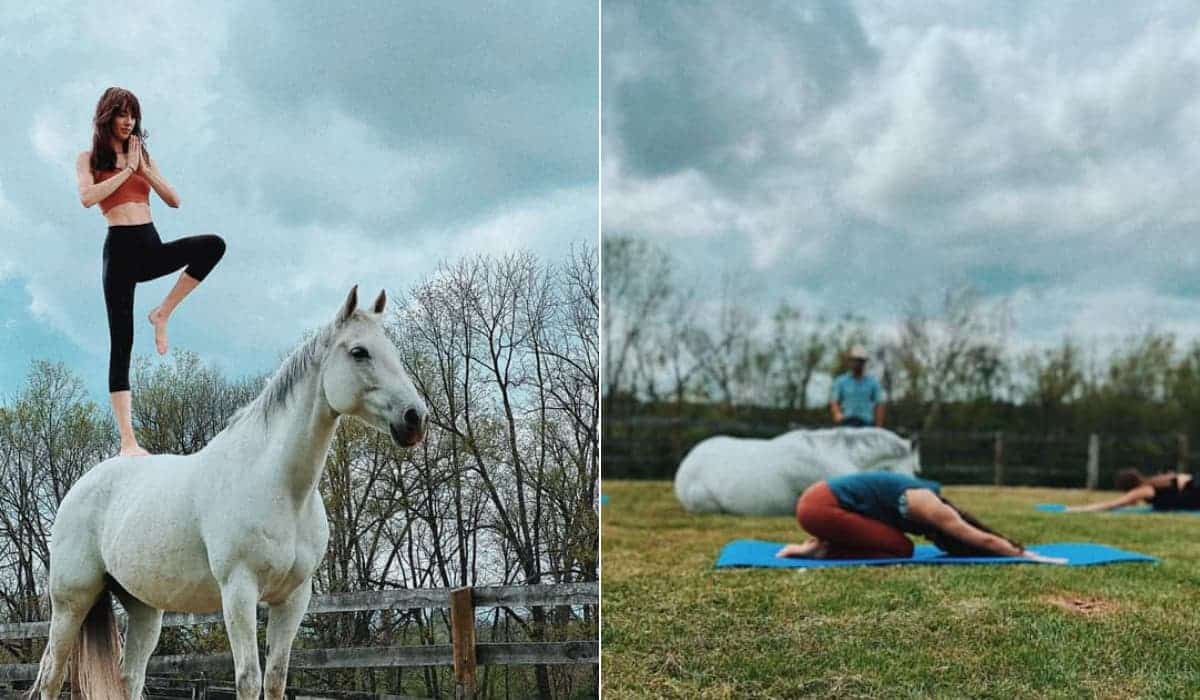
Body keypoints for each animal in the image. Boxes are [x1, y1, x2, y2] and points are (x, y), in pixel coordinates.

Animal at [31, 288, 432, 696]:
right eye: (359, 352)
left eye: (393, 351)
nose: (415, 418)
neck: (279, 488)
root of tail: (82, 486)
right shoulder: (239, 591)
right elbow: (248, 679)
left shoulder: (293, 599)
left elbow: (275, 678)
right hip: (71, 601)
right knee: (52, 675)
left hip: (144, 608)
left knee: (130, 678)